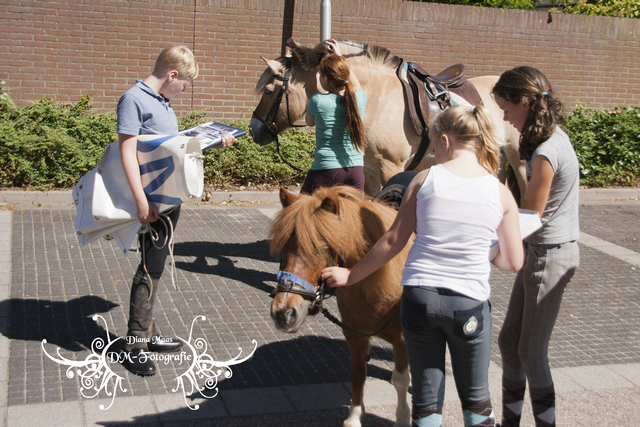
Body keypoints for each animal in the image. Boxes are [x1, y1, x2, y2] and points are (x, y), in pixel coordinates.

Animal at [249, 38, 526, 202]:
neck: (376, 100)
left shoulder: (390, 168)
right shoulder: (369, 171)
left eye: (269, 90)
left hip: (517, 157)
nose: (253, 129)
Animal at [269, 185, 412, 427]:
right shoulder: (354, 336)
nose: (283, 313)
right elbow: (357, 374)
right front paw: (354, 416)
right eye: (283, 248)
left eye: (321, 248)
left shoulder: (403, 340)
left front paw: (402, 418)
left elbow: (401, 379)